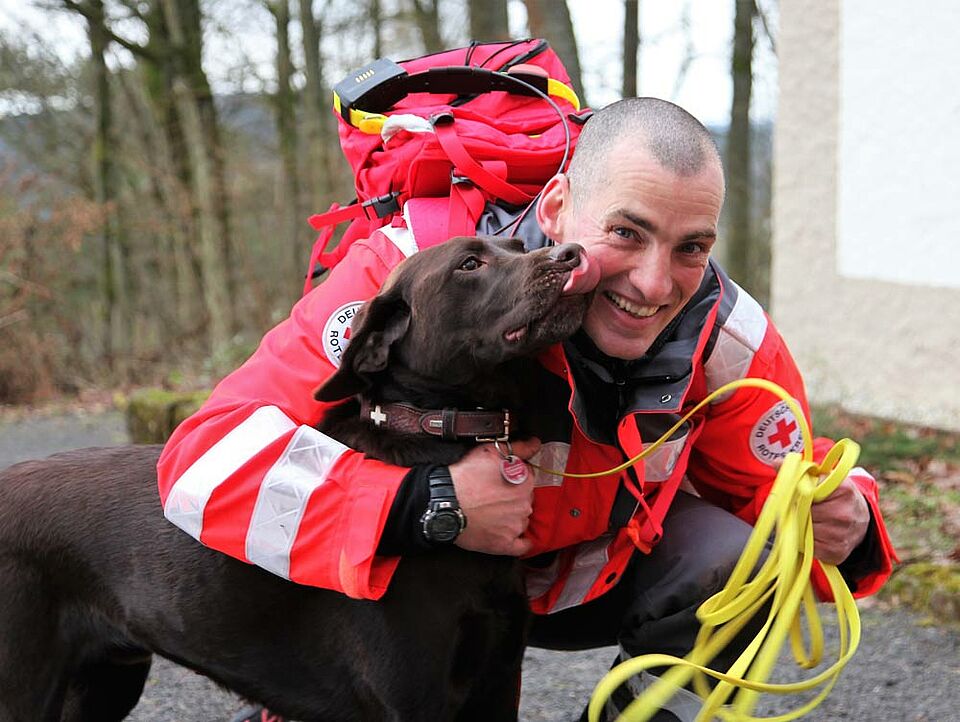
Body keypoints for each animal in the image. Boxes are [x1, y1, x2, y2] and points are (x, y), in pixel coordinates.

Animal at [0, 238, 592, 720]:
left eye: (519, 245)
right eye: (470, 264)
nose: (574, 253)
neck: (445, 432)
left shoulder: (498, 681)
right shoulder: (413, 697)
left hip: (102, 683)